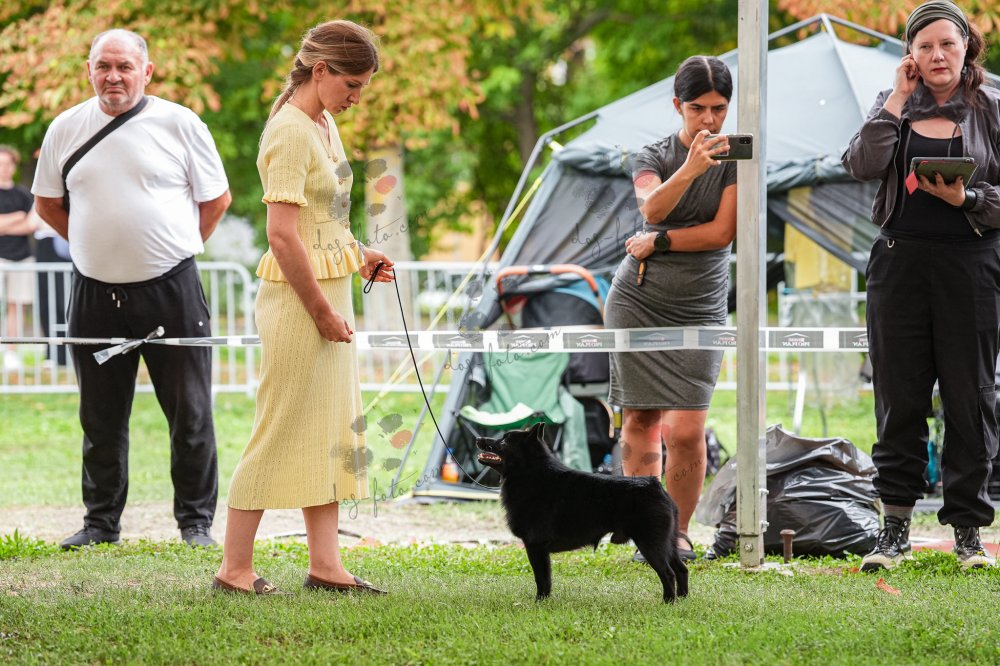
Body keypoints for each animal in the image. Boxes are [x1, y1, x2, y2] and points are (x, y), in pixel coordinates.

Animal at [476, 422, 688, 602]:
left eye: (503, 441)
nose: (478, 438)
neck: (531, 474)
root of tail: (656, 487)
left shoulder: (536, 546)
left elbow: (542, 579)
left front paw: (539, 602)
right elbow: (546, 579)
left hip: (650, 544)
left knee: (668, 573)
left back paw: (668, 602)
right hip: (668, 543)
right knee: (681, 569)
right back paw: (682, 599)